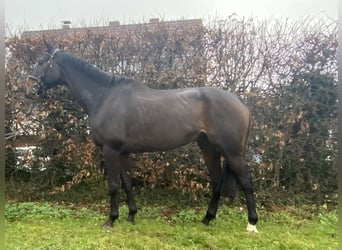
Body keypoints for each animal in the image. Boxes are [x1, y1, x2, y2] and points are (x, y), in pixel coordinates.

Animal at [25, 42, 258, 232]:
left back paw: (252, 224)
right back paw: (207, 219)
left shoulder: (110, 150)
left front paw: (110, 220)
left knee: (246, 181)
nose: (28, 90)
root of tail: (239, 101)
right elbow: (127, 183)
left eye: (41, 62)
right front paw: (131, 216)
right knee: (217, 181)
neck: (105, 97)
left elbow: (113, 185)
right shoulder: (122, 153)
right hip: (209, 148)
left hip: (232, 152)